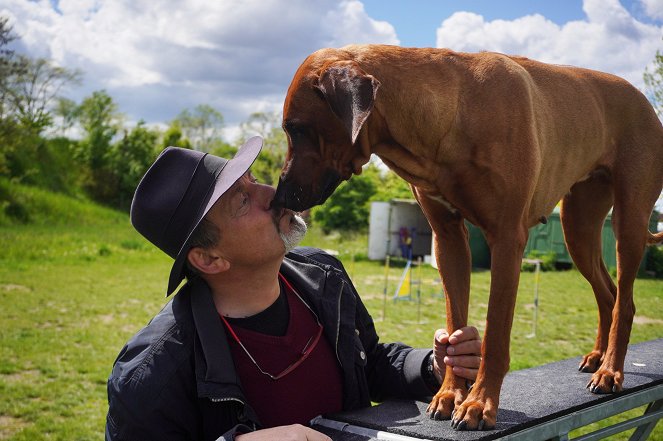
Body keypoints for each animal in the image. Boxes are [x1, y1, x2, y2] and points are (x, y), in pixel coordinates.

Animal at [272, 44, 663, 430]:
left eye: (296, 128)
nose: (279, 196)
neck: (453, 114)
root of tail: (642, 99)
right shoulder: (448, 239)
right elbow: (454, 323)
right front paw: (449, 394)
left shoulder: (507, 238)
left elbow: (495, 334)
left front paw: (479, 402)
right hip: (578, 227)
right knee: (607, 293)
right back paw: (598, 357)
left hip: (628, 221)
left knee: (625, 301)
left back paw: (611, 370)